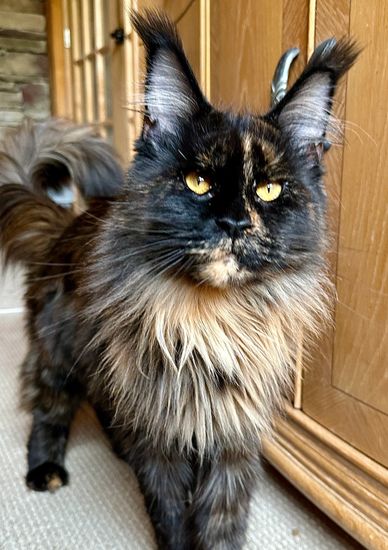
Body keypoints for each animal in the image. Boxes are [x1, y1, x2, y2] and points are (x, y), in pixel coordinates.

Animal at [0, 9, 358, 550]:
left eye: (269, 191)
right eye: (198, 182)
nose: (234, 222)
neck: (215, 323)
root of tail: (67, 223)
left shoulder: (233, 437)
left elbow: (220, 521)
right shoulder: (162, 435)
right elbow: (169, 514)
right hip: (60, 353)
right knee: (49, 409)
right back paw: (45, 470)